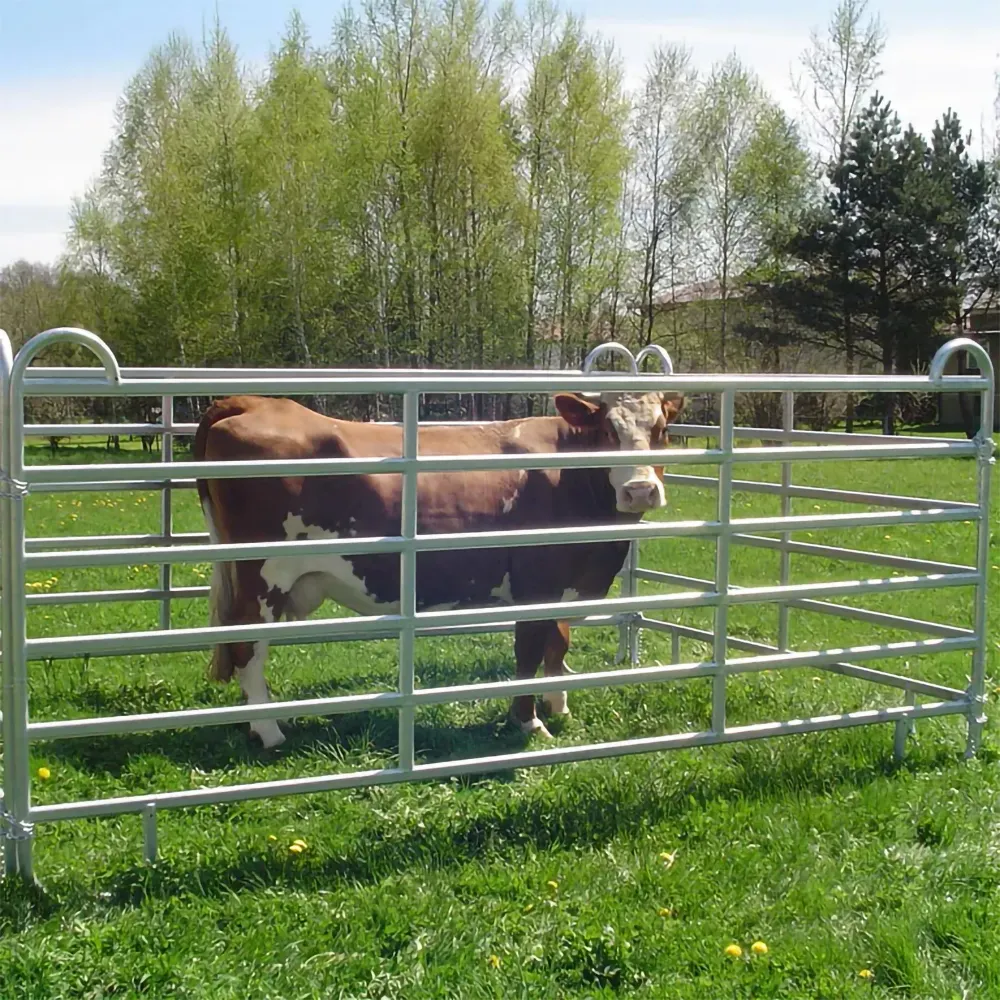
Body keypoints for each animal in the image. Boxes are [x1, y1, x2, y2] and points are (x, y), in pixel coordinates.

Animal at [191, 386, 684, 748]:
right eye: (606, 430)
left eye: (661, 429)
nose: (640, 490)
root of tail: (254, 402)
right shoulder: (536, 582)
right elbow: (528, 651)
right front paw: (528, 722)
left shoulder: (564, 585)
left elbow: (557, 645)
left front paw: (559, 704)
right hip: (262, 576)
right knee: (245, 646)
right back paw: (270, 730)